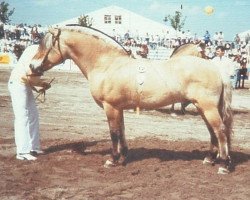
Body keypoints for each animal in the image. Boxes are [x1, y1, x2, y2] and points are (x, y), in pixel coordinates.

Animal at [30, 26, 233, 173]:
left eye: (45, 46)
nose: (32, 66)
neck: (107, 64)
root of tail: (215, 68)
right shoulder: (118, 108)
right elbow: (122, 131)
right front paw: (123, 156)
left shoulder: (110, 107)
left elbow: (113, 132)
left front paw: (112, 160)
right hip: (203, 108)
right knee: (213, 131)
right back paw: (209, 159)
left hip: (208, 107)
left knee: (220, 130)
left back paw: (224, 165)